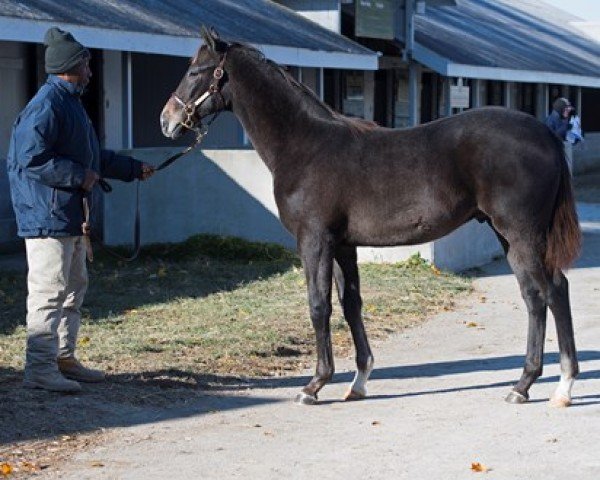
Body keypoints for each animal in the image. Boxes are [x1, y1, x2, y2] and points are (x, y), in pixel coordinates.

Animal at [161, 28, 580, 406]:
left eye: (196, 70)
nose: (167, 120)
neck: (304, 145)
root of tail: (544, 134)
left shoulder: (314, 240)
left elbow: (319, 305)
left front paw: (314, 385)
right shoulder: (343, 245)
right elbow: (351, 304)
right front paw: (358, 382)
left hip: (522, 234)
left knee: (546, 292)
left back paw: (542, 386)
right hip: (508, 235)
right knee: (544, 292)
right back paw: (542, 384)